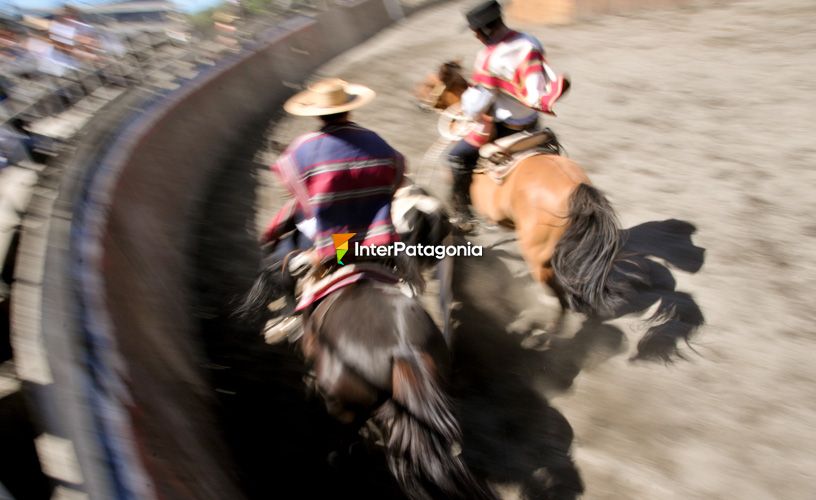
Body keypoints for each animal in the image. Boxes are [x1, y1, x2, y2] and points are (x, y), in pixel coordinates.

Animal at [418, 61, 628, 316]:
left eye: (430, 83)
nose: (418, 100)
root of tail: (576, 190)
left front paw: (463, 225)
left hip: (537, 255)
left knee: (553, 298)